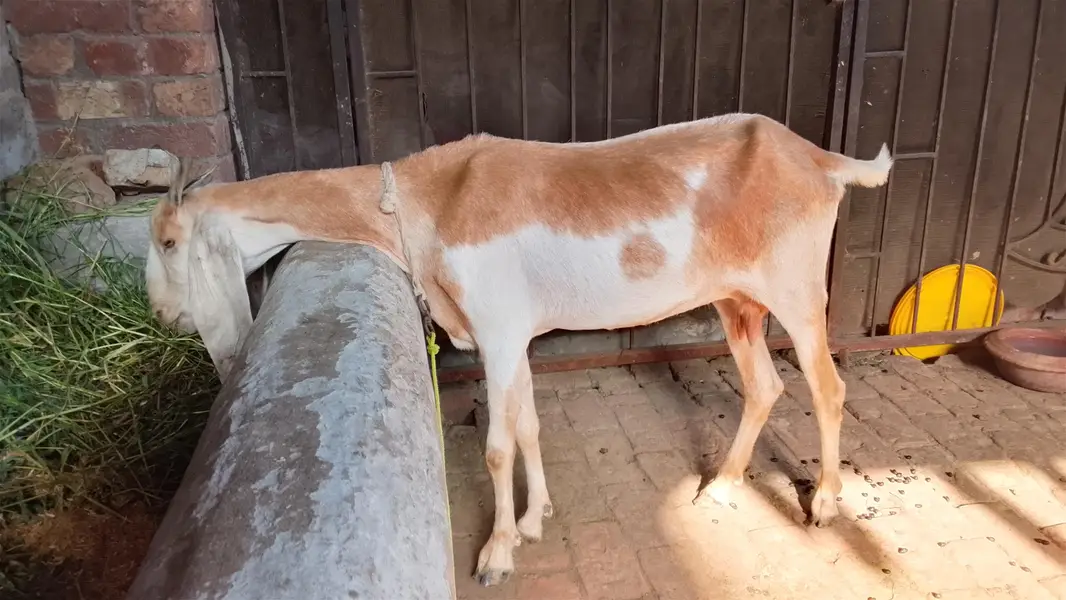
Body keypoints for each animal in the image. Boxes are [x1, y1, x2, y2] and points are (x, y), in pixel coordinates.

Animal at [146, 113, 892, 587]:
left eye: (169, 241)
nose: (161, 312)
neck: (427, 201)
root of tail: (821, 160)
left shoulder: (499, 330)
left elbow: (498, 445)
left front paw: (498, 552)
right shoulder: (515, 334)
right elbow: (529, 423)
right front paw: (537, 518)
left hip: (797, 290)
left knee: (827, 387)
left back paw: (824, 503)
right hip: (737, 300)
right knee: (765, 384)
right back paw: (726, 483)